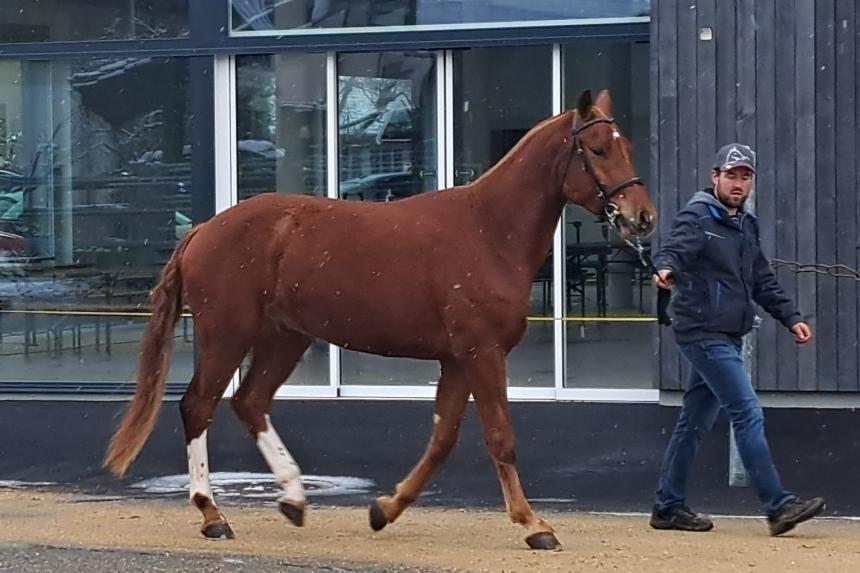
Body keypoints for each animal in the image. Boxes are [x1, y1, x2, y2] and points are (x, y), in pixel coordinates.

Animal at [104, 89, 656, 551]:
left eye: (624, 144)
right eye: (598, 150)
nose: (642, 217)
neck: (488, 231)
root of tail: (202, 230)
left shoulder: (457, 361)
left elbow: (441, 441)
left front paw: (384, 510)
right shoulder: (481, 353)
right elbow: (500, 437)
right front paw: (534, 525)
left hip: (285, 338)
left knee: (250, 402)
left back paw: (293, 498)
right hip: (228, 335)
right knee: (199, 406)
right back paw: (212, 513)